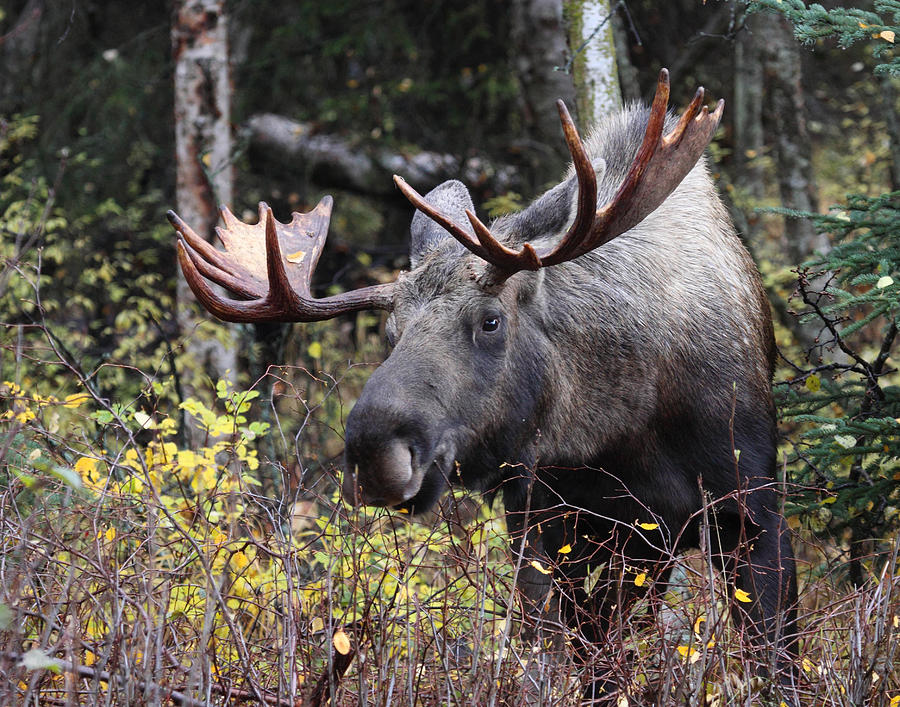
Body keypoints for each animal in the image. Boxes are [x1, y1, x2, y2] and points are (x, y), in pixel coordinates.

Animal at [169, 69, 796, 700]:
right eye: (391, 331)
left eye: (491, 321)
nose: (375, 452)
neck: (625, 429)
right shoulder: (555, 527)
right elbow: (571, 662)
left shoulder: (753, 511)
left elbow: (779, 663)